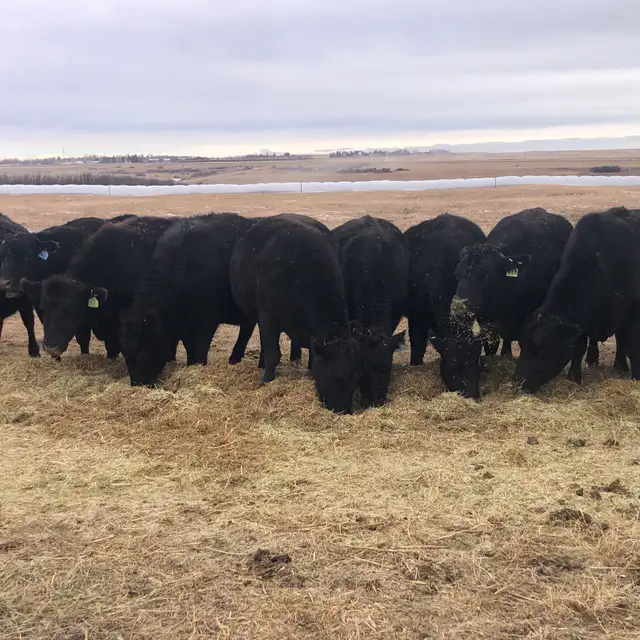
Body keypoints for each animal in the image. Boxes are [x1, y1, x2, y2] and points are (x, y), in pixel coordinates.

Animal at [0, 213, 40, 356]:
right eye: (2, 257)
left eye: (27, 257)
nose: (5, 283)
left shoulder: (26, 300)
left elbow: (29, 322)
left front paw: (34, 351)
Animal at [120, 213, 259, 387]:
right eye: (124, 352)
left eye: (142, 352)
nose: (137, 384)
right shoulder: (184, 324)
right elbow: (189, 347)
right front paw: (190, 364)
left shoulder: (207, 321)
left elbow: (200, 348)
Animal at [230, 214, 359, 414]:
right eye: (336, 377)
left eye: (355, 377)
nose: (343, 410)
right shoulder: (267, 317)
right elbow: (273, 353)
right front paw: (267, 379)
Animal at [514, 207, 640, 392]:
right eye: (522, 344)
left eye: (542, 350)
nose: (519, 381)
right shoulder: (582, 323)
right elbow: (579, 348)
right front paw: (574, 376)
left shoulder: (632, 312)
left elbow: (630, 344)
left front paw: (634, 374)